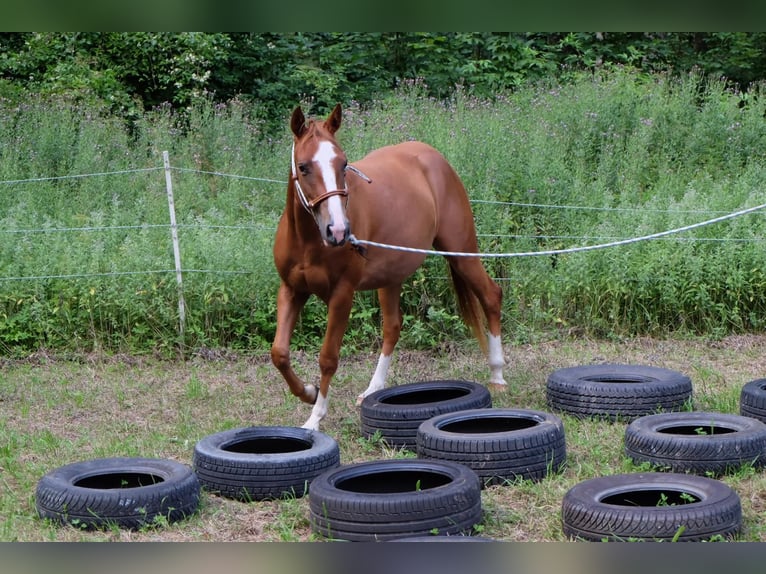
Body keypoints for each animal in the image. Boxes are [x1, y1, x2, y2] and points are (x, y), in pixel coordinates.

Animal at [271, 104, 507, 431]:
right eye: (304, 167)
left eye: (343, 164)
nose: (339, 231)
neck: (309, 240)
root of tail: (434, 158)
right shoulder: (291, 290)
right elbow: (279, 353)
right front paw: (308, 391)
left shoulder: (342, 295)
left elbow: (328, 357)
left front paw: (315, 418)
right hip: (391, 276)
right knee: (392, 327)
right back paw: (373, 388)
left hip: (461, 251)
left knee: (490, 295)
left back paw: (497, 374)